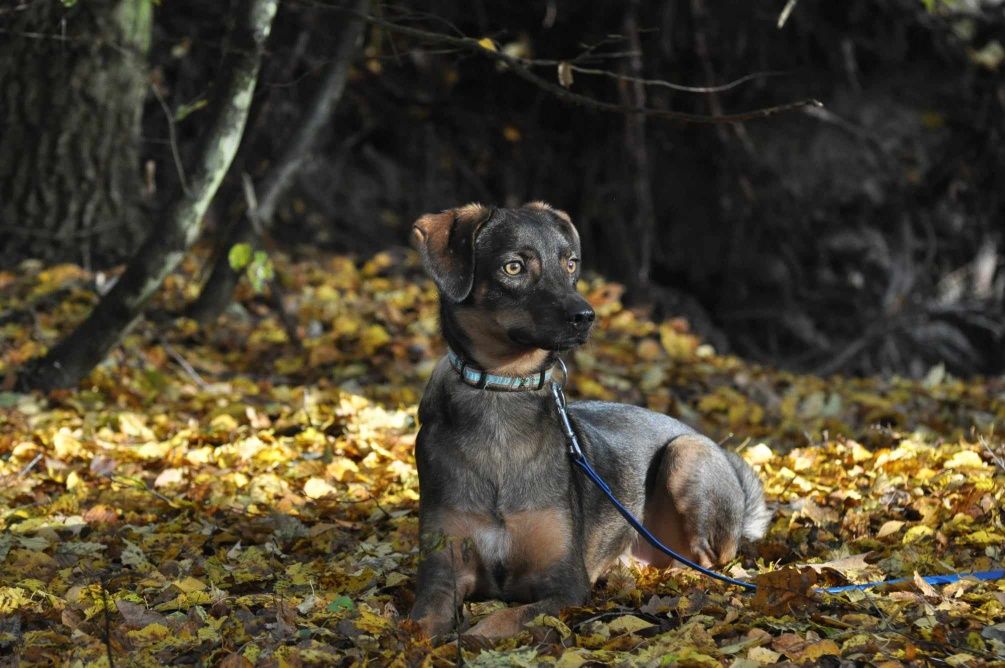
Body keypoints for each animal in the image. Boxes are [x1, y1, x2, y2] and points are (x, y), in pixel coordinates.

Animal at [408, 201, 767, 634]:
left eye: (570, 264)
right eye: (513, 267)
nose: (585, 316)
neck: (501, 389)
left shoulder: (565, 584)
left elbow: (500, 622)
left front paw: (474, 633)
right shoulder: (441, 572)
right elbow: (420, 626)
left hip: (687, 453)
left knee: (708, 565)